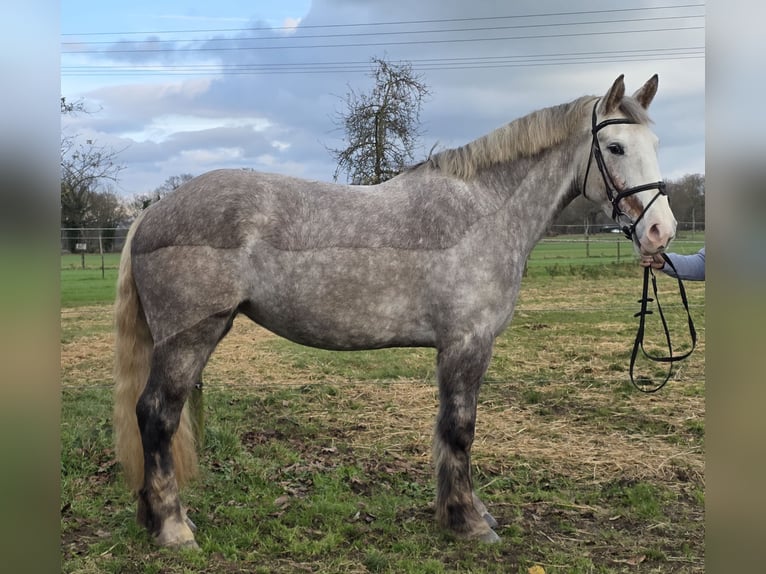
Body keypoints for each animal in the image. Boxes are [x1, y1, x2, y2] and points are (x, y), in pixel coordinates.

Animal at [113, 75, 676, 548]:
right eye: (615, 147)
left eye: (654, 146)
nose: (660, 233)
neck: (482, 212)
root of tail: (152, 214)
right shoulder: (467, 343)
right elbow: (460, 428)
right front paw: (469, 522)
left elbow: (450, 428)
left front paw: (465, 511)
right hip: (187, 340)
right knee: (157, 417)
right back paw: (173, 528)